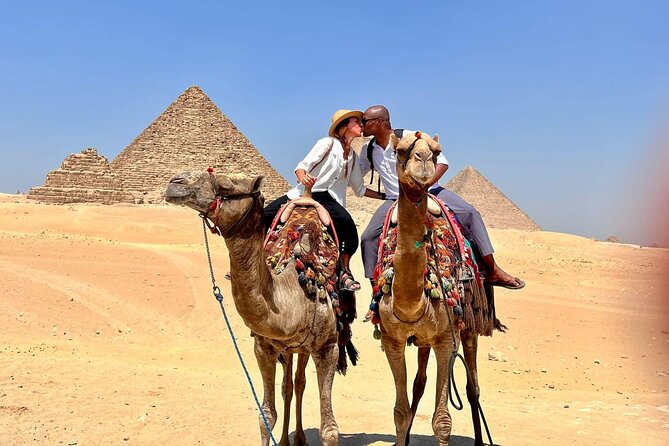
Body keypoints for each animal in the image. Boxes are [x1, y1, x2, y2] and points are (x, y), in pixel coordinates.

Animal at [164, 171, 340, 446]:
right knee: (290, 385)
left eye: (225, 185)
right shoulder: (264, 348)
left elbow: (329, 430)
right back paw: (290, 439)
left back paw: (299, 438)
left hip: (307, 347)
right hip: (291, 349)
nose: (175, 182)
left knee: (298, 382)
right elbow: (266, 414)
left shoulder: (329, 347)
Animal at [377, 132, 492, 446]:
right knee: (419, 384)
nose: (424, 162)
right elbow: (400, 412)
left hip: (469, 325)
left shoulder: (446, 340)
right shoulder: (392, 340)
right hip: (422, 339)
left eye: (437, 151)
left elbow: (442, 420)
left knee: (472, 387)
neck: (411, 303)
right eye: (400, 150)